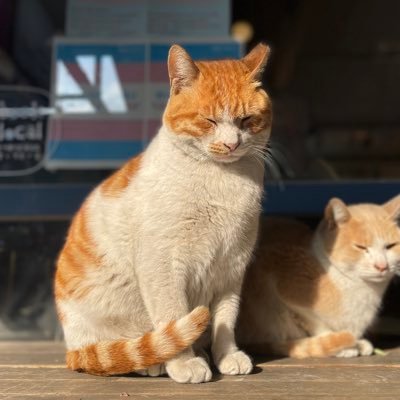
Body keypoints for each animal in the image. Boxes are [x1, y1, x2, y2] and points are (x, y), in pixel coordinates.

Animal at [54, 44, 272, 384]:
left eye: (247, 119)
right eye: (208, 121)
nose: (231, 144)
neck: (222, 181)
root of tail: (71, 348)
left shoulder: (232, 268)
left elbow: (225, 319)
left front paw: (227, 356)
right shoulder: (163, 265)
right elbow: (173, 316)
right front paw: (184, 363)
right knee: (124, 350)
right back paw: (153, 363)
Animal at [236, 197, 400, 360]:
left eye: (390, 246)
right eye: (361, 247)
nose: (382, 266)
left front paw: (357, 343)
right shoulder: (276, 271)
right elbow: (316, 322)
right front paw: (343, 345)